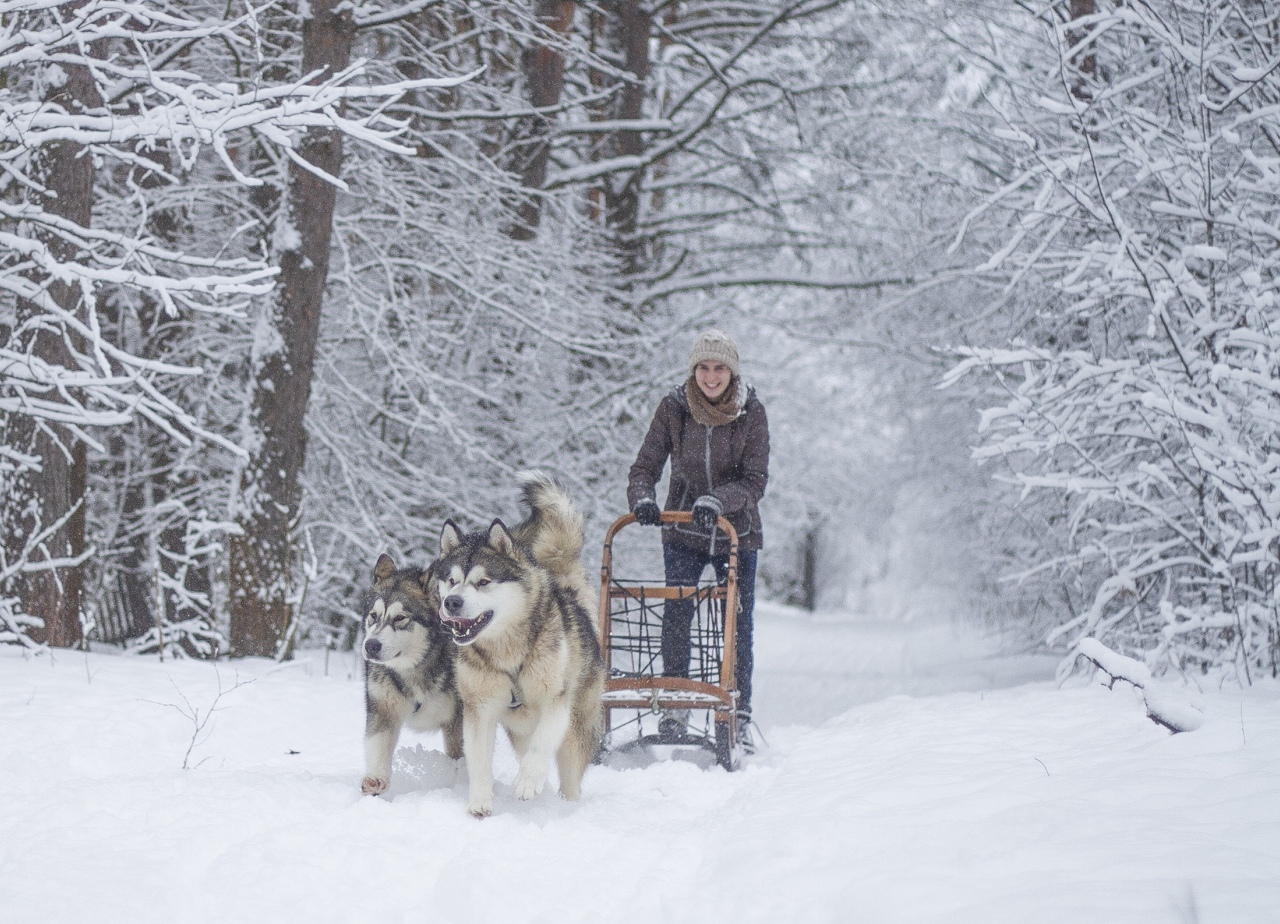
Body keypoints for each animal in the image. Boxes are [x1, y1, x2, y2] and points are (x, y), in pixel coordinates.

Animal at [358, 550, 463, 793]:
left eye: (400, 618)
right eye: (373, 615)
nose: (371, 646)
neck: (415, 668)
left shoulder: (457, 721)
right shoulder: (382, 706)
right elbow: (378, 743)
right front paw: (375, 778)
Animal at [435, 470, 604, 819]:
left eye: (483, 582)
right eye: (451, 580)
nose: (452, 602)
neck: (507, 651)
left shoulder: (556, 701)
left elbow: (542, 744)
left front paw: (527, 782)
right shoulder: (479, 708)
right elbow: (478, 759)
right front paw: (480, 801)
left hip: (576, 727)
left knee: (568, 772)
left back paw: (564, 805)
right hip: (519, 727)